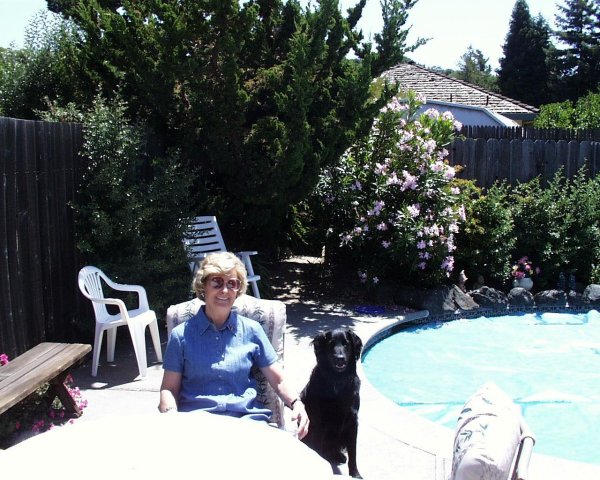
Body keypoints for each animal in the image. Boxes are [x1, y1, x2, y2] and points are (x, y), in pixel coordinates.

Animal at [300, 328, 363, 478]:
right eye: (331, 344)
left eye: (346, 344)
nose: (340, 358)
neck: (337, 380)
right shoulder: (319, 422)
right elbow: (317, 448)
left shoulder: (353, 421)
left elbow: (353, 452)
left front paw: (355, 474)